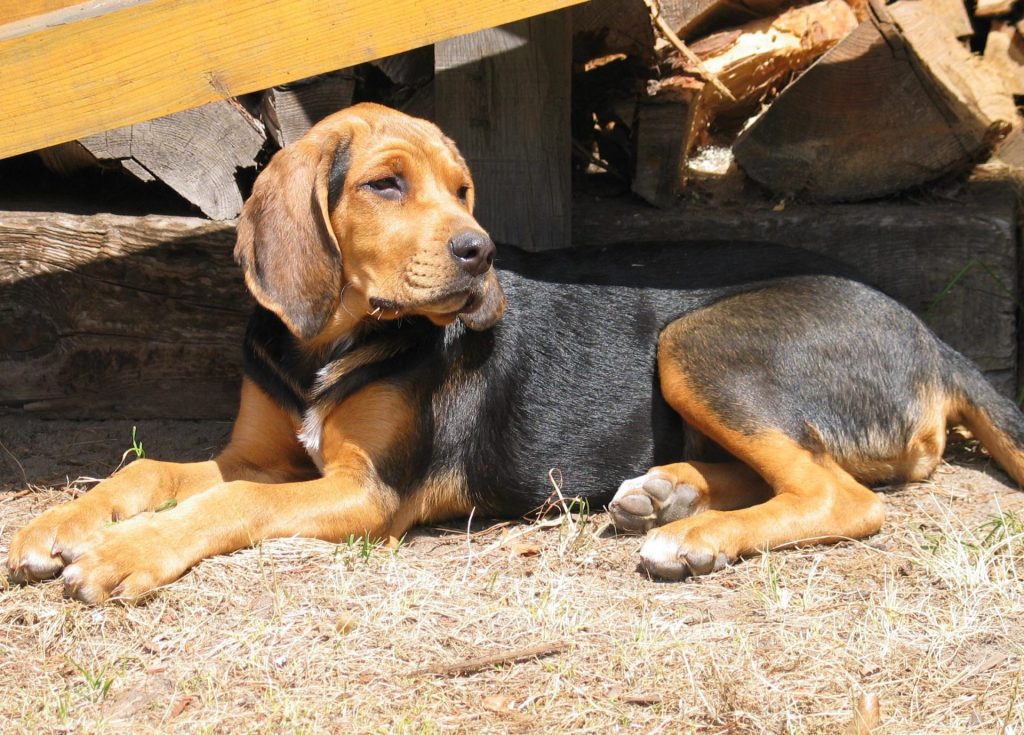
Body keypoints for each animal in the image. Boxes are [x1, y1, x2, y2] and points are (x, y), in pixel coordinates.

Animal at [8, 104, 1024, 606]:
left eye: (462, 189)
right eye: (385, 184)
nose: (481, 254)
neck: (334, 339)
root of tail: (934, 336)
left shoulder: (367, 491)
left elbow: (230, 504)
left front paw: (122, 553)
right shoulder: (260, 452)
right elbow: (147, 471)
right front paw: (55, 527)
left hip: (692, 339)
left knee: (842, 497)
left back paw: (691, 537)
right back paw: (667, 494)